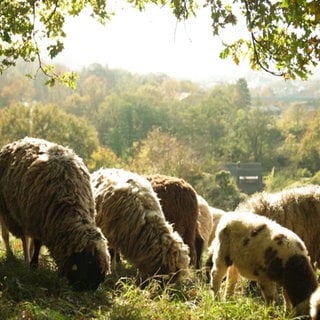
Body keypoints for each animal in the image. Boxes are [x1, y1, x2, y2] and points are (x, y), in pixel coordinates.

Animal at [0, 136, 110, 292]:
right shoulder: (37, 219)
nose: (89, 290)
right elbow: (37, 243)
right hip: (12, 211)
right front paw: (33, 265)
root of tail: (19, 141)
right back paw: (24, 259)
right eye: (87, 263)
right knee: (22, 237)